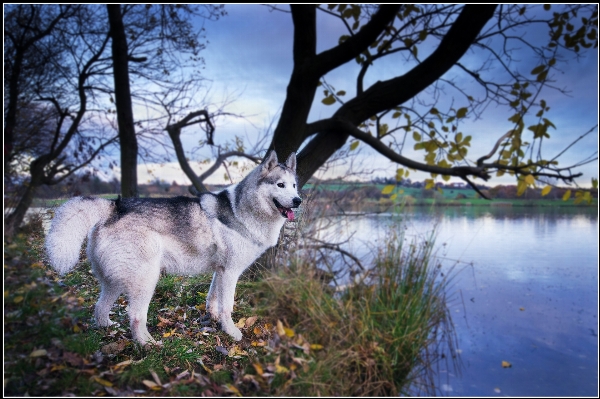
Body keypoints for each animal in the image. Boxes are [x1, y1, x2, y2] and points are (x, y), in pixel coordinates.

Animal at [44, 152, 302, 346]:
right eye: (280, 185)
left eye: (294, 186)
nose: (298, 200)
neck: (244, 210)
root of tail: (114, 206)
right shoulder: (230, 273)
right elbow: (227, 306)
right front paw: (231, 332)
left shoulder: (219, 271)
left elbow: (213, 299)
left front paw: (213, 319)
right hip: (146, 280)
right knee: (135, 316)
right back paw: (147, 344)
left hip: (114, 282)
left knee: (100, 308)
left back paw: (107, 328)